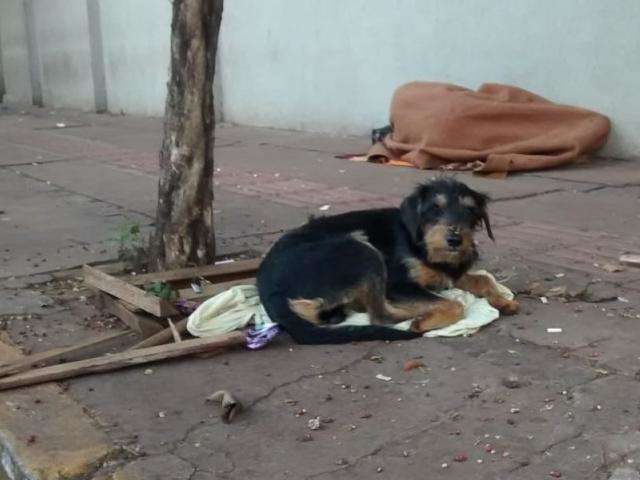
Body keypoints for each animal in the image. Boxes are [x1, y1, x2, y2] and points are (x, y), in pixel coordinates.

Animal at [256, 178, 520, 344]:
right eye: (435, 208)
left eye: (470, 210)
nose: (455, 239)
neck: (421, 242)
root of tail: (265, 284)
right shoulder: (398, 284)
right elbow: (455, 304)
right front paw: (426, 319)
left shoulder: (451, 274)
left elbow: (483, 279)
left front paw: (503, 300)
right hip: (362, 249)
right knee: (379, 315)